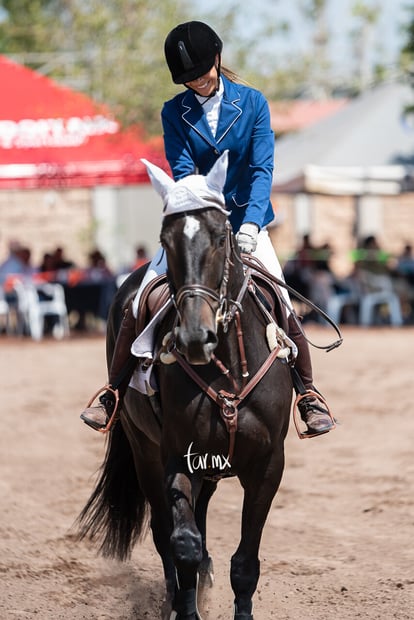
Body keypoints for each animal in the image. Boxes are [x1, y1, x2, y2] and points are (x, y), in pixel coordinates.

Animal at [77, 151, 292, 620]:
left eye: (221, 237)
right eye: (166, 238)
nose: (195, 337)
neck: (226, 365)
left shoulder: (268, 463)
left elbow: (245, 561)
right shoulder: (175, 454)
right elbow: (183, 544)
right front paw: (185, 606)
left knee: (202, 511)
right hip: (145, 450)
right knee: (165, 532)